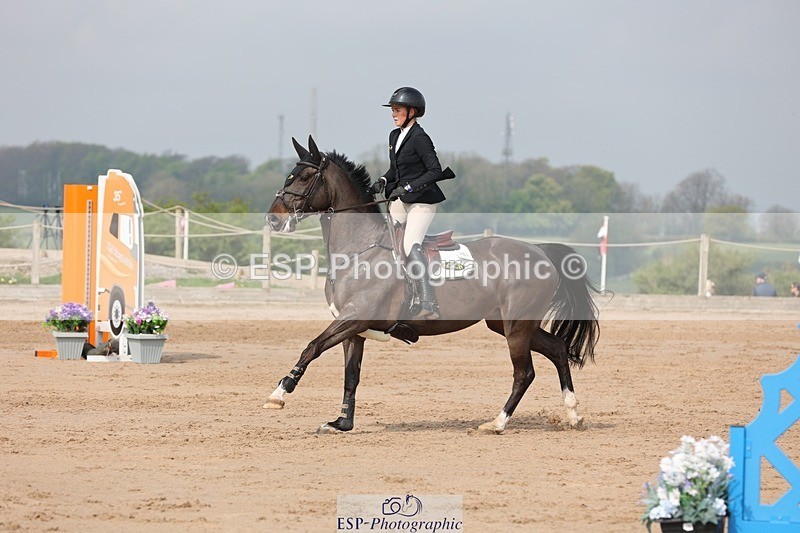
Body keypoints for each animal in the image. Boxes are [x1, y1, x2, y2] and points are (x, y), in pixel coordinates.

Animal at [264, 136, 599, 434]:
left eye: (304, 176)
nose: (273, 219)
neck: (360, 250)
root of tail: (540, 251)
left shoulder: (354, 317)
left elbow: (312, 347)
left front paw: (279, 393)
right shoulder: (354, 329)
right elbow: (351, 375)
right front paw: (341, 423)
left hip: (516, 326)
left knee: (524, 373)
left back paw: (497, 423)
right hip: (505, 323)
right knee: (557, 349)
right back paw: (573, 416)